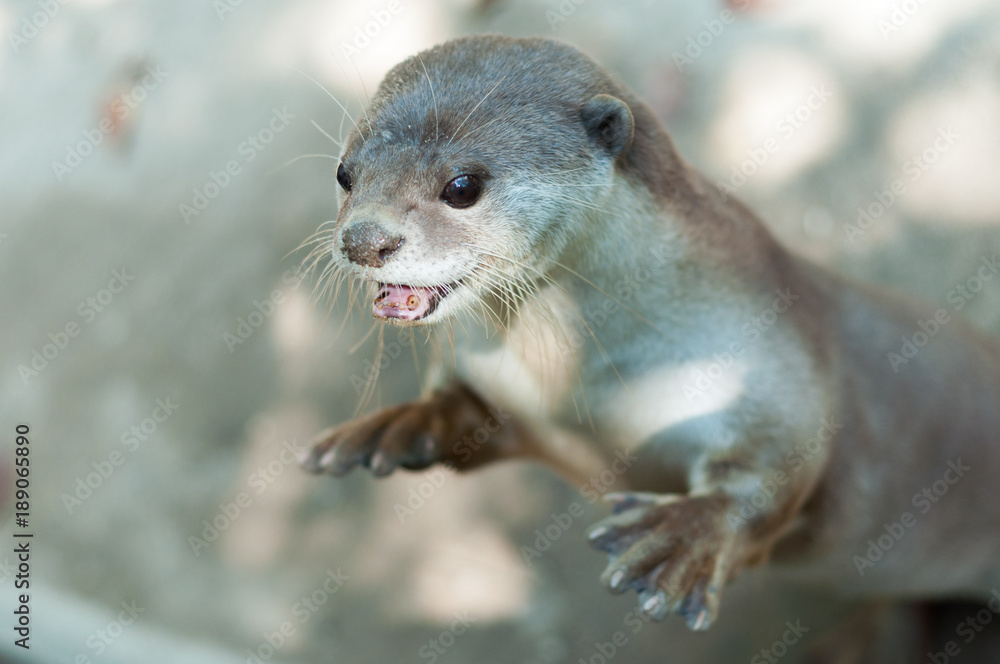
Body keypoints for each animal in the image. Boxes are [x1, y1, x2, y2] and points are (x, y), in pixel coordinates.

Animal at [299, 35, 1000, 636]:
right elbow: (465, 411)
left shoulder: (778, 361)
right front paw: (393, 426)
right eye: (344, 174)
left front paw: (683, 536)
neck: (585, 384)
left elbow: (786, 463)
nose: (363, 240)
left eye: (462, 186)